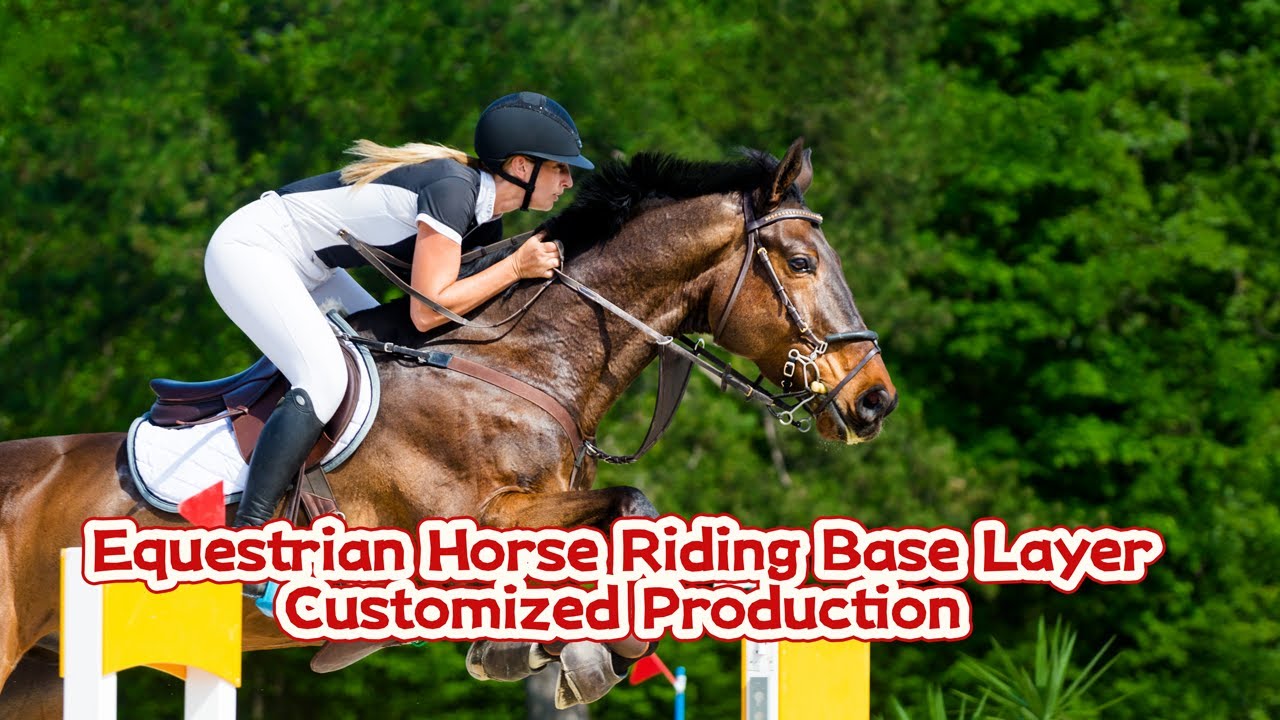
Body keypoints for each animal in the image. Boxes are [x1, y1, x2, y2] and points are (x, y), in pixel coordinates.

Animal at [0, 138, 896, 716]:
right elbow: (634, 505)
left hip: (41, 675)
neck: (525, 366)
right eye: (803, 264)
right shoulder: (466, 527)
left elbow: (623, 521)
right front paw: (568, 654)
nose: (875, 401)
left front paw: (571, 650)